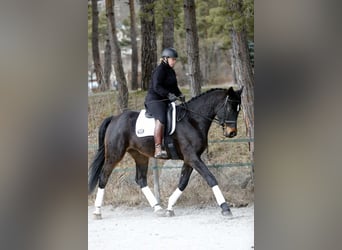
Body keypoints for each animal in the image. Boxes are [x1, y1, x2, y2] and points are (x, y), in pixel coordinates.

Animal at [88, 86, 243, 219]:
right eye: (229, 107)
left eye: (238, 109)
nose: (232, 133)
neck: (192, 120)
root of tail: (114, 118)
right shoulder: (192, 157)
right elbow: (210, 178)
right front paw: (225, 208)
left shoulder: (190, 159)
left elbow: (183, 182)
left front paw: (169, 208)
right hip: (114, 154)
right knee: (104, 176)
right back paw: (97, 212)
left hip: (140, 155)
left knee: (141, 180)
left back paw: (158, 209)